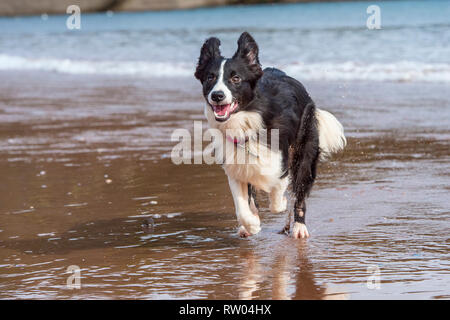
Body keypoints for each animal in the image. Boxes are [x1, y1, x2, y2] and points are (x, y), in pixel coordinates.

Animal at [193, 31, 344, 238]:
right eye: (210, 77)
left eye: (236, 78)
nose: (217, 96)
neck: (246, 120)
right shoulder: (235, 164)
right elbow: (242, 207)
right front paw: (252, 224)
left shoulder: (279, 159)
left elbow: (278, 189)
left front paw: (280, 204)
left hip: (304, 150)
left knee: (300, 191)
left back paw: (298, 227)